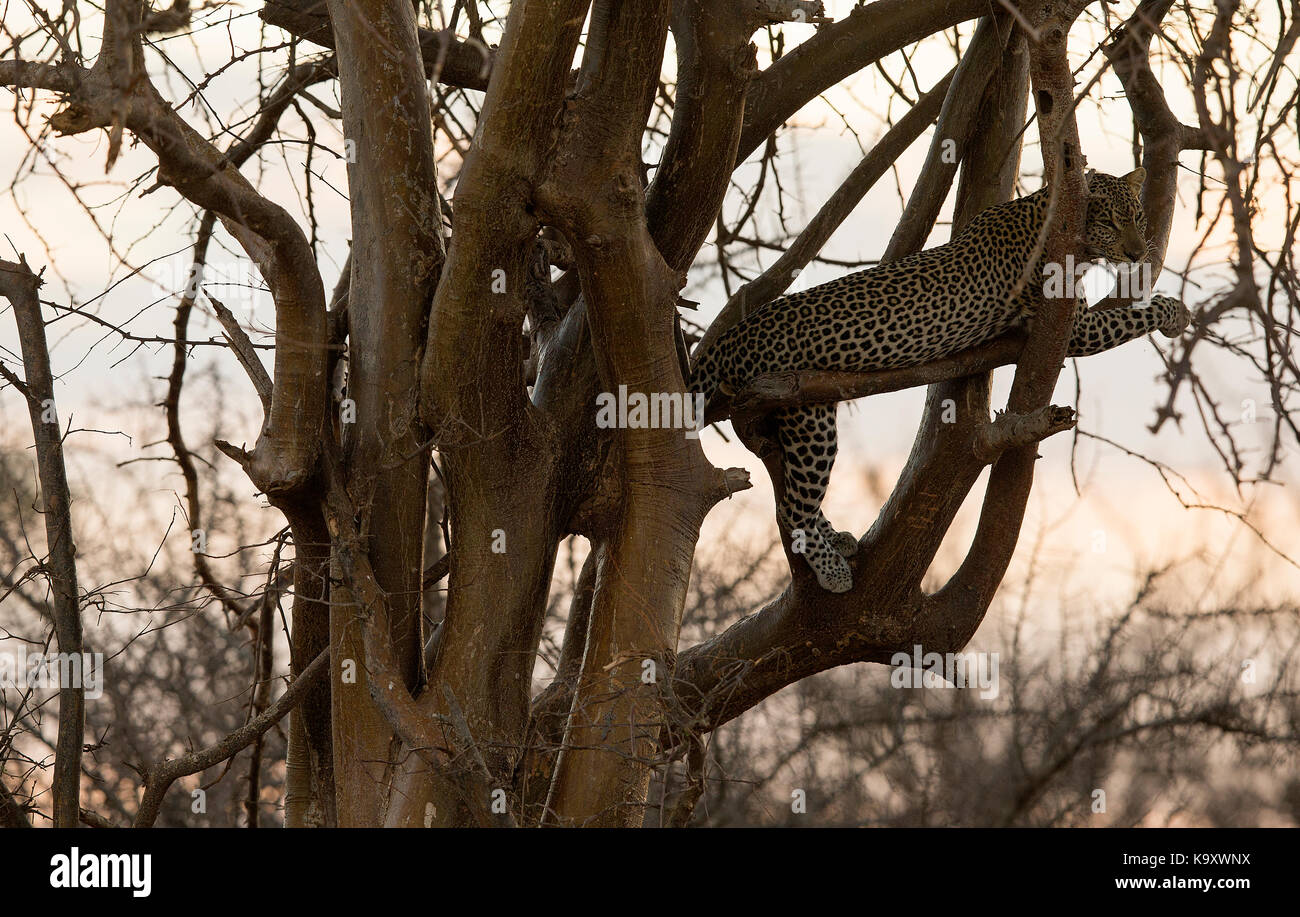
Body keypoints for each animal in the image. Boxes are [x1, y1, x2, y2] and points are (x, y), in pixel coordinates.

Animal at [696, 170, 1190, 593]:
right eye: (1109, 220)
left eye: (1138, 217)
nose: (1138, 252)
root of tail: (732, 335)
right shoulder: (1077, 328)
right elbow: (1135, 315)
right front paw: (1175, 312)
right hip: (806, 416)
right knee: (792, 507)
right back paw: (832, 569)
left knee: (802, 498)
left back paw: (838, 539)